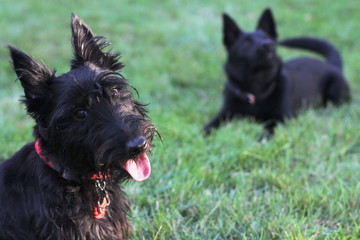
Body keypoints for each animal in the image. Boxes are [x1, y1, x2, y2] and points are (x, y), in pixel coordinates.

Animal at [204, 8, 350, 136]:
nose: (268, 44)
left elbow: (267, 132)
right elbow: (209, 126)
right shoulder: (225, 114)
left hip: (335, 92)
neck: (256, 89)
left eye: (267, 37)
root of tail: (331, 64)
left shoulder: (280, 119)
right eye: (246, 42)